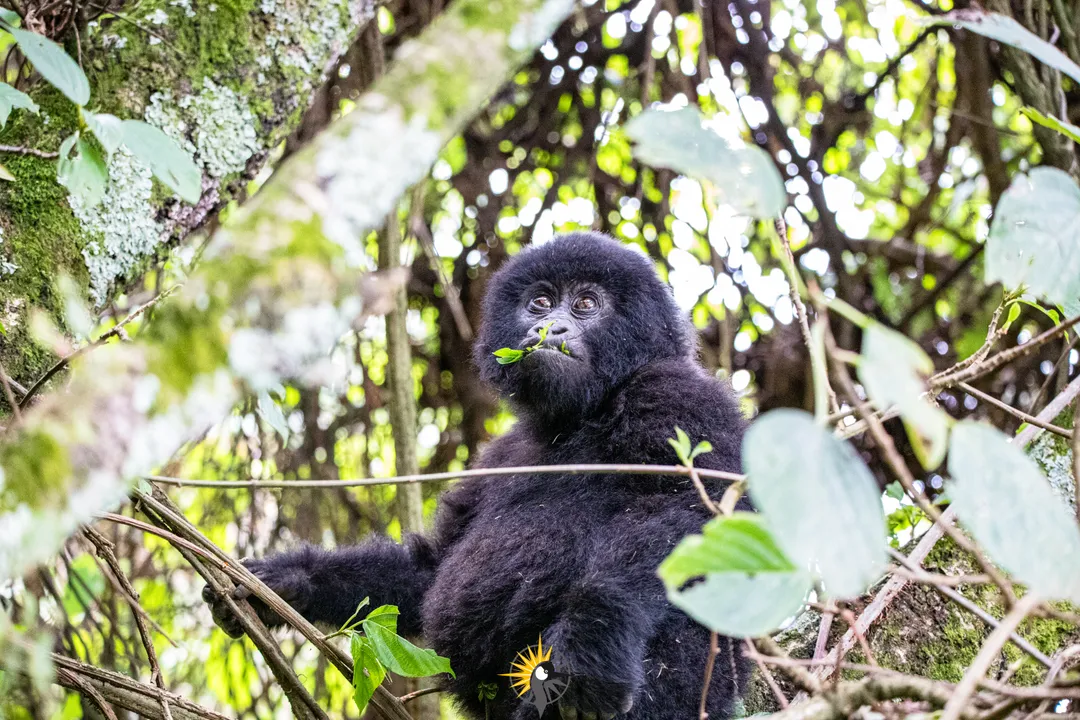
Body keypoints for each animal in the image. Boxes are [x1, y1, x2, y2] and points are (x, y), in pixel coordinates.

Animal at [206, 234, 756, 716]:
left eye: (585, 304)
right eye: (540, 303)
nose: (550, 329)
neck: (578, 416)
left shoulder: (680, 397)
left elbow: (698, 516)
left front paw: (594, 637)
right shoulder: (498, 455)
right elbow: (429, 569)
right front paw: (285, 582)